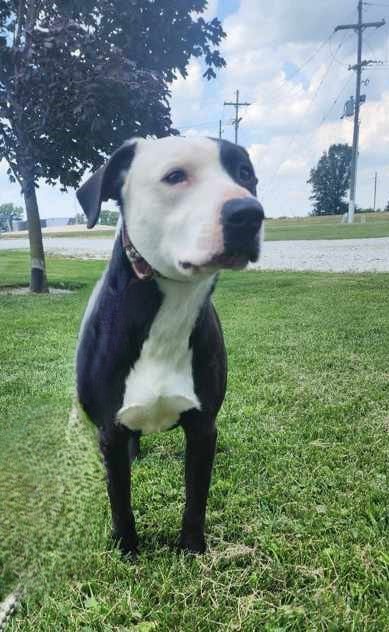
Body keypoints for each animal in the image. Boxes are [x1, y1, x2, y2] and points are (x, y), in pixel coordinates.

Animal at [76, 136, 264, 556]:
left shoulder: (203, 428)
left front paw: (192, 548)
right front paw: (127, 550)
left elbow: (196, 496)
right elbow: (120, 499)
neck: (171, 305)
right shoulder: (109, 430)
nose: (249, 213)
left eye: (246, 174)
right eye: (175, 176)